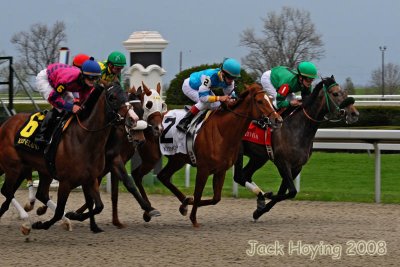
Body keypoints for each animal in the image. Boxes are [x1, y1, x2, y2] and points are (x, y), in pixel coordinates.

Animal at [0, 83, 139, 234]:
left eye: (127, 96)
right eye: (112, 97)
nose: (133, 119)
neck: (84, 138)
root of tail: (5, 123)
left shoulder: (90, 179)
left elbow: (98, 206)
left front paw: (75, 216)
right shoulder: (66, 182)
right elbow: (60, 211)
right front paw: (42, 224)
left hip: (40, 170)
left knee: (39, 193)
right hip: (14, 167)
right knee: (7, 191)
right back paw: (26, 220)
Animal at [134, 82, 282, 227]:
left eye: (270, 100)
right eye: (260, 101)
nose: (278, 120)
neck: (222, 131)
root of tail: (146, 120)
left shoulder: (221, 170)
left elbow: (215, 199)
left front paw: (185, 204)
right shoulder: (203, 169)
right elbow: (198, 193)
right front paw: (193, 219)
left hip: (177, 159)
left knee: (163, 176)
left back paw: (181, 202)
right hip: (151, 157)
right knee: (138, 175)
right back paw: (149, 210)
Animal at [231, 75, 360, 220]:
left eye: (345, 92)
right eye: (335, 93)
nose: (354, 114)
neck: (297, 128)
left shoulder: (297, 166)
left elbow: (285, 192)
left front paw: (259, 211)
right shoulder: (282, 162)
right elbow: (292, 191)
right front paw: (267, 197)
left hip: (259, 157)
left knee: (245, 175)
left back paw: (260, 197)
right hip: (239, 150)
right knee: (238, 176)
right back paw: (262, 194)